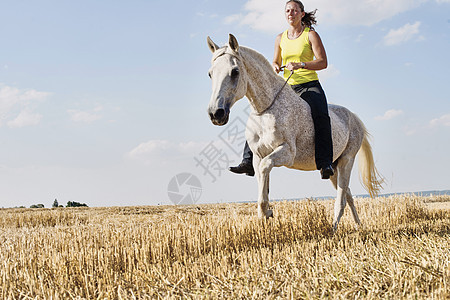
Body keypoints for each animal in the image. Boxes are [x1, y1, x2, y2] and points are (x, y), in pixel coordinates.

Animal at [206, 34, 382, 230]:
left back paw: (333, 229)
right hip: (334, 168)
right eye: (210, 73)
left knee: (341, 199)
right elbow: (262, 181)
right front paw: (265, 216)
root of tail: (354, 118)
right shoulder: (258, 156)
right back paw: (359, 226)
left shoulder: (286, 153)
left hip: (346, 161)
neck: (267, 109)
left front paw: (266, 212)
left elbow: (266, 167)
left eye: (235, 71)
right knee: (348, 195)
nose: (216, 114)